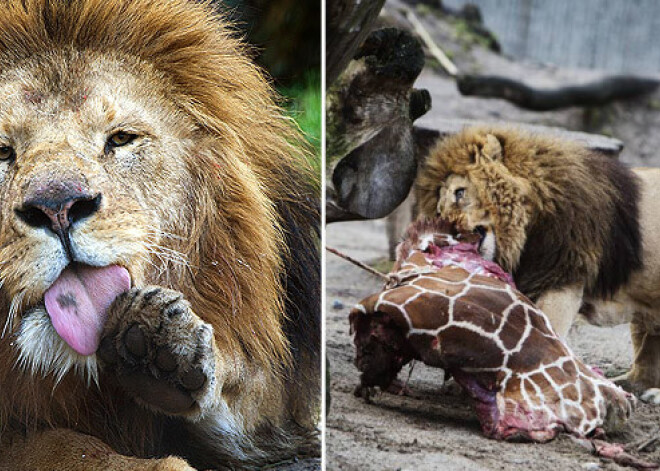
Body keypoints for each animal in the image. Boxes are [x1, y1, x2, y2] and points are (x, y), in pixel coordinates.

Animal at [0, 0, 320, 471]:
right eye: (3, 152)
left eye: (121, 139)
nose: (56, 208)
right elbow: (58, 445)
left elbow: (249, 393)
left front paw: (163, 350)